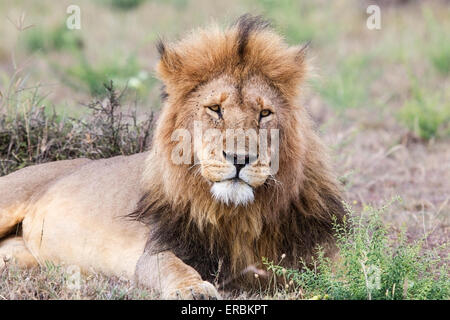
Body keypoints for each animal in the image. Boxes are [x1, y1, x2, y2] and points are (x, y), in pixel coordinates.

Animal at [0, 15, 346, 300]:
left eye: (264, 114)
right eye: (215, 109)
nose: (239, 158)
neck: (239, 216)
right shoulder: (157, 250)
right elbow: (173, 267)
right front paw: (193, 289)